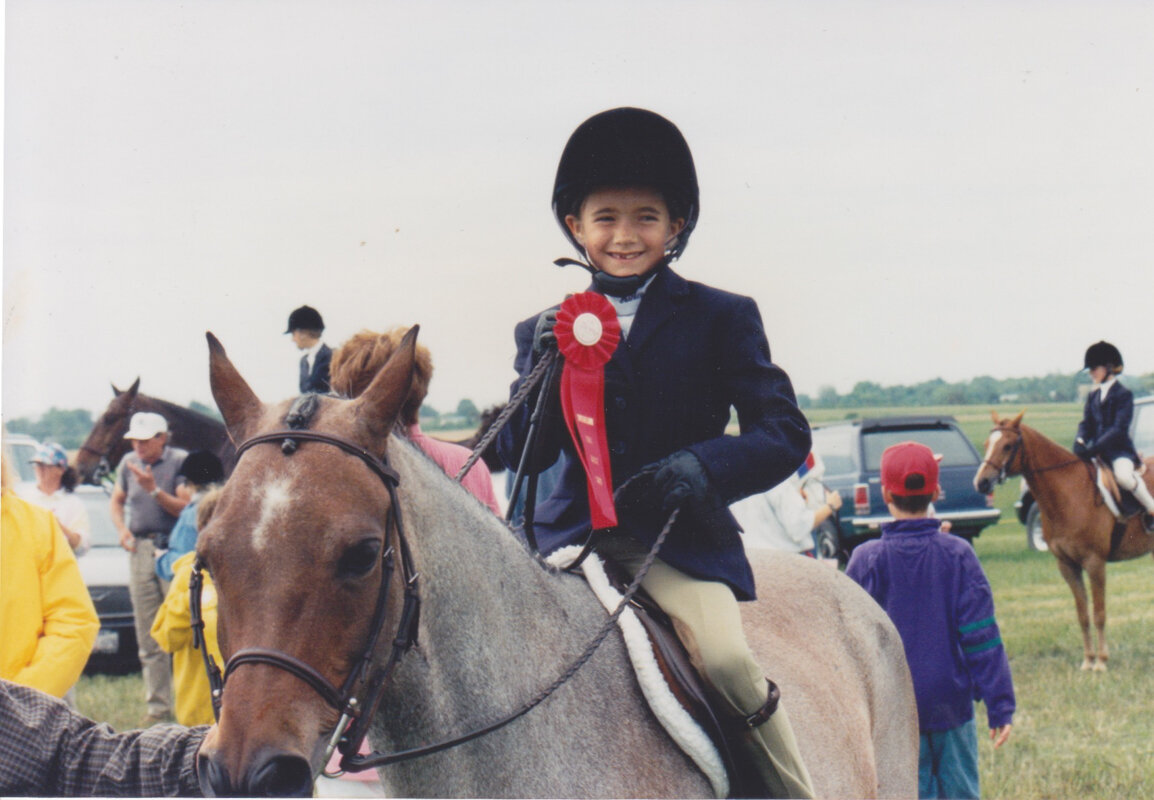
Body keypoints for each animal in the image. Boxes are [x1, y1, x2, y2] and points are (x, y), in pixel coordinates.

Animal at [973, 410, 1154, 669]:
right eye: (988, 444)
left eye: (1007, 446)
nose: (982, 482)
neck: (1069, 492)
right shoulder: (1067, 565)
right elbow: (1082, 614)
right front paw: (1088, 661)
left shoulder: (1094, 563)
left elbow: (1099, 613)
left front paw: (1101, 662)